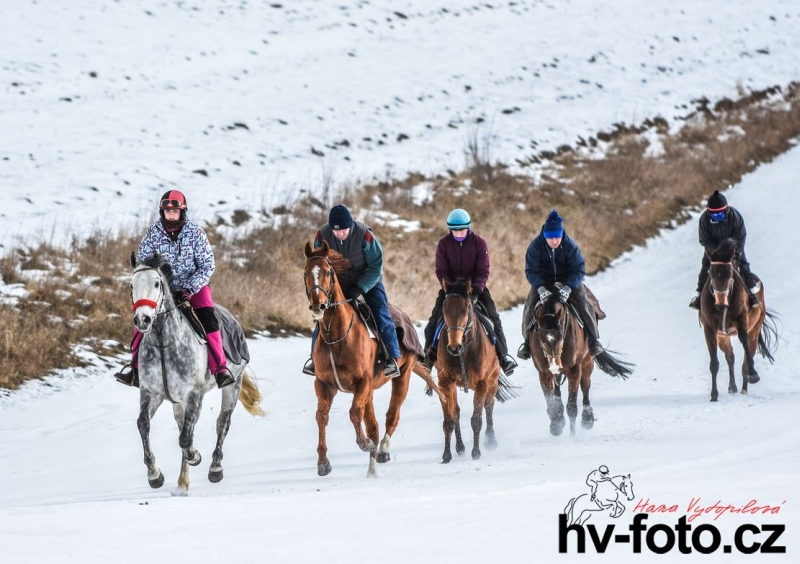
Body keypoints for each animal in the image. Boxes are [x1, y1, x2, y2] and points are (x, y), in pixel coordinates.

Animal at [130, 252, 264, 494]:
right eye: (131, 285)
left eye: (156, 283)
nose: (142, 319)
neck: (164, 341)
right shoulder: (151, 393)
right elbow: (143, 424)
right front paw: (154, 475)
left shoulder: (193, 395)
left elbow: (185, 438)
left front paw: (195, 456)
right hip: (176, 402)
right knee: (182, 426)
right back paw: (182, 482)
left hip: (233, 385)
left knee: (222, 422)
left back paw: (215, 468)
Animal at [304, 240, 446, 478]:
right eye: (306, 272)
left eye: (328, 272)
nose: (318, 305)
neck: (337, 335)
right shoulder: (323, 384)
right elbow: (321, 417)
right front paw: (323, 463)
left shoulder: (363, 382)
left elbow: (354, 413)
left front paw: (364, 443)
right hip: (369, 392)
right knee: (374, 424)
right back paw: (372, 466)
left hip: (402, 377)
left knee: (391, 416)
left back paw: (382, 451)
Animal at [434, 278, 516, 462]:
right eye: (444, 309)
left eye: (466, 309)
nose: (454, 347)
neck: (463, 351)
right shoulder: (445, 383)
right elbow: (449, 419)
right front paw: (446, 455)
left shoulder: (482, 383)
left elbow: (477, 419)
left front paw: (476, 452)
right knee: (456, 412)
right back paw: (460, 448)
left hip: (492, 381)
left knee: (489, 406)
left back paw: (491, 440)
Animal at [528, 288, 636, 438]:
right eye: (541, 338)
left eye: (561, 336)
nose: (555, 363)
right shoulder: (544, 373)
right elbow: (551, 402)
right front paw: (556, 425)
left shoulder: (574, 370)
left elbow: (572, 406)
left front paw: (572, 436)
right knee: (558, 391)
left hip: (587, 363)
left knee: (585, 387)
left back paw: (587, 419)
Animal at [700, 238, 776, 400]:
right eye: (711, 274)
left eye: (730, 275)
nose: (720, 304)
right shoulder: (710, 329)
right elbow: (714, 363)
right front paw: (714, 395)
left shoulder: (742, 323)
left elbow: (744, 343)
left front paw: (753, 375)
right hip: (723, 336)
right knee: (730, 357)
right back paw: (733, 387)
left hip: (754, 330)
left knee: (746, 359)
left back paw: (744, 388)